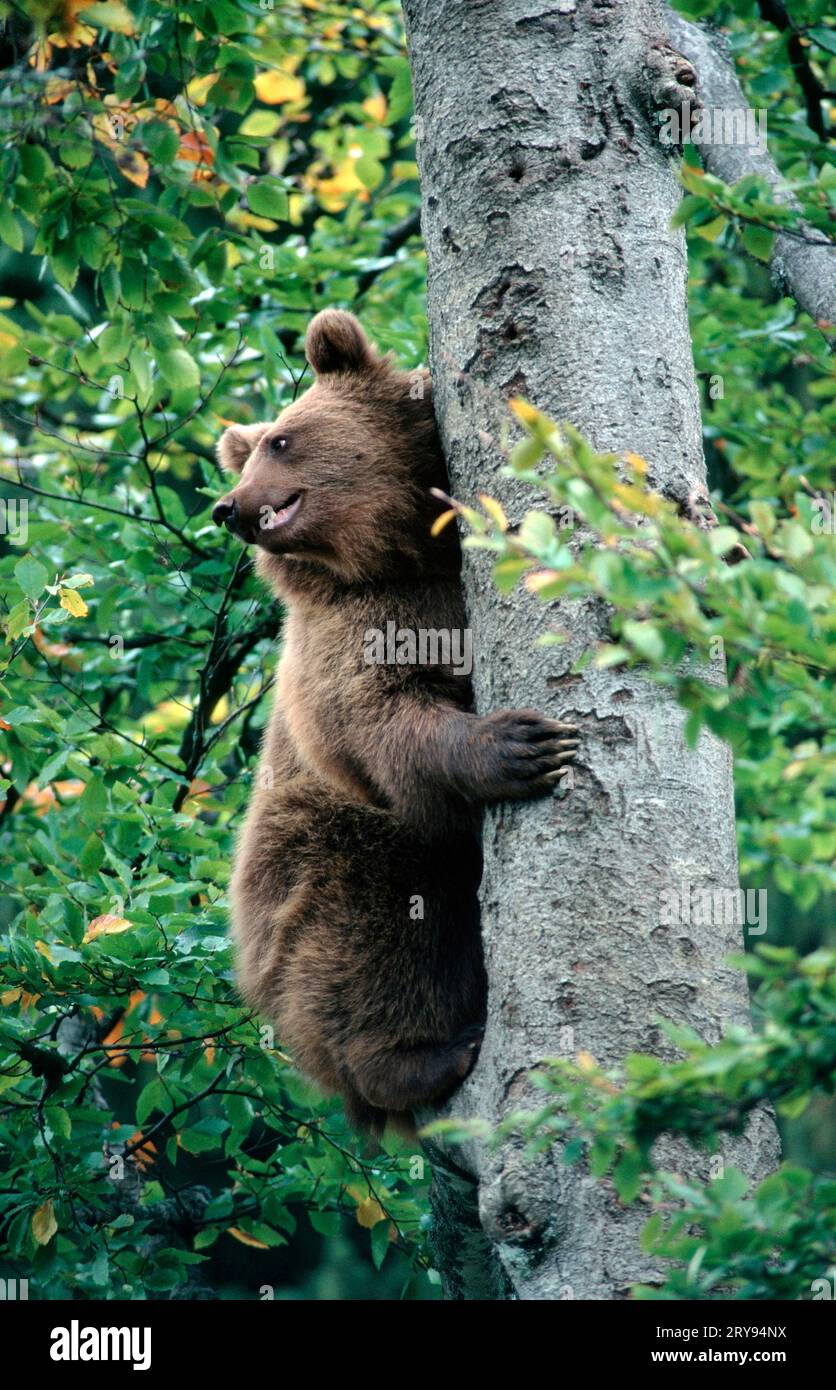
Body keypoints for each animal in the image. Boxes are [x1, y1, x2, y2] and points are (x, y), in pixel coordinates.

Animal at [213, 309, 579, 1134]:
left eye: (281, 440)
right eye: (259, 447)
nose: (230, 507)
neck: (401, 551)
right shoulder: (351, 632)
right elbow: (379, 716)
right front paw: (522, 744)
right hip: (310, 859)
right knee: (373, 930)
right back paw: (421, 1058)